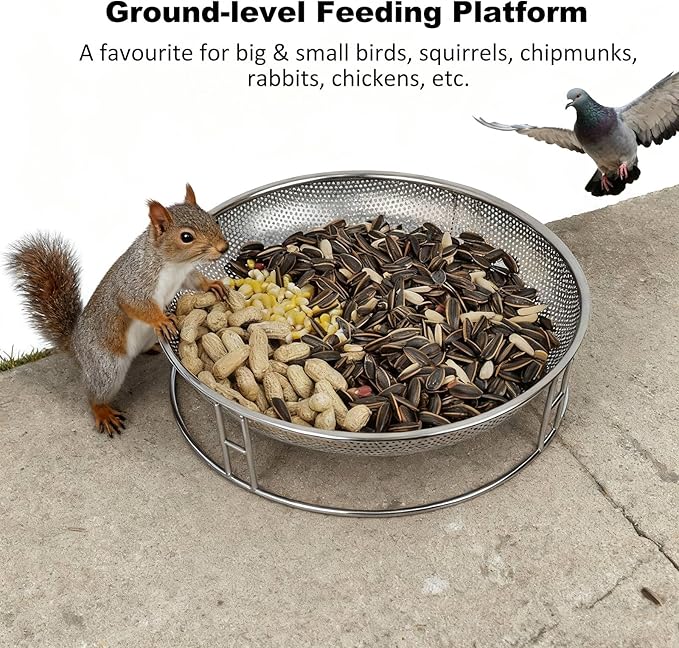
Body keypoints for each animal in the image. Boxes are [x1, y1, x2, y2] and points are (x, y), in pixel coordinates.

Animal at [7, 184, 228, 437]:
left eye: (213, 220)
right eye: (186, 237)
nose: (224, 248)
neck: (173, 264)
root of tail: (76, 348)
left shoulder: (185, 276)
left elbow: (195, 281)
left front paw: (211, 285)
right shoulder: (133, 284)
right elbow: (135, 304)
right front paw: (161, 320)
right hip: (106, 366)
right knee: (94, 394)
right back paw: (102, 412)